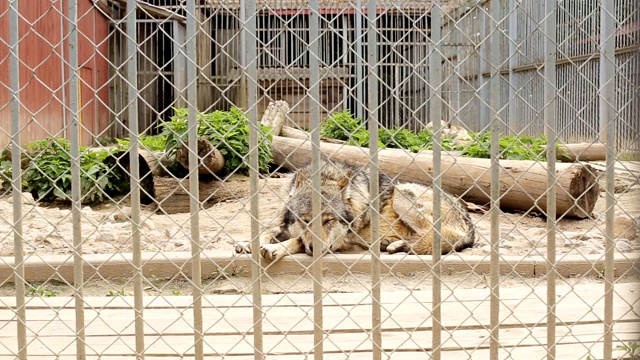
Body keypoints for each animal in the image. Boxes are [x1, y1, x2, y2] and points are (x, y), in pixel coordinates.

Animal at [235, 160, 476, 262]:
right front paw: (248, 243)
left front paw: (275, 248)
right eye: (305, 221)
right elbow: (268, 230)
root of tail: (470, 224)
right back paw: (392, 244)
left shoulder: (337, 242)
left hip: (401, 195)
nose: (316, 248)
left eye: (329, 221)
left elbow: (295, 242)